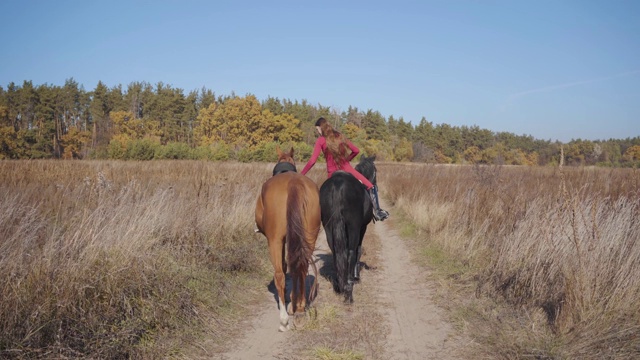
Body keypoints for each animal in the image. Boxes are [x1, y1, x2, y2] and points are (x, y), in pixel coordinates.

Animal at [254, 147, 320, 332]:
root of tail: (293, 183)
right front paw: (294, 304)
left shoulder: (279, 240)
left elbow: (283, 268)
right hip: (309, 237)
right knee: (301, 267)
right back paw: (299, 309)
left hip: (274, 240)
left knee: (279, 275)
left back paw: (284, 319)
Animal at [318, 155, 378, 304]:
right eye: (376, 170)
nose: (375, 184)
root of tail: (337, 186)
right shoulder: (362, 227)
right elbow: (358, 249)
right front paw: (357, 276)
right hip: (353, 227)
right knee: (350, 251)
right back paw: (349, 289)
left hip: (328, 227)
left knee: (336, 252)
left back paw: (341, 285)